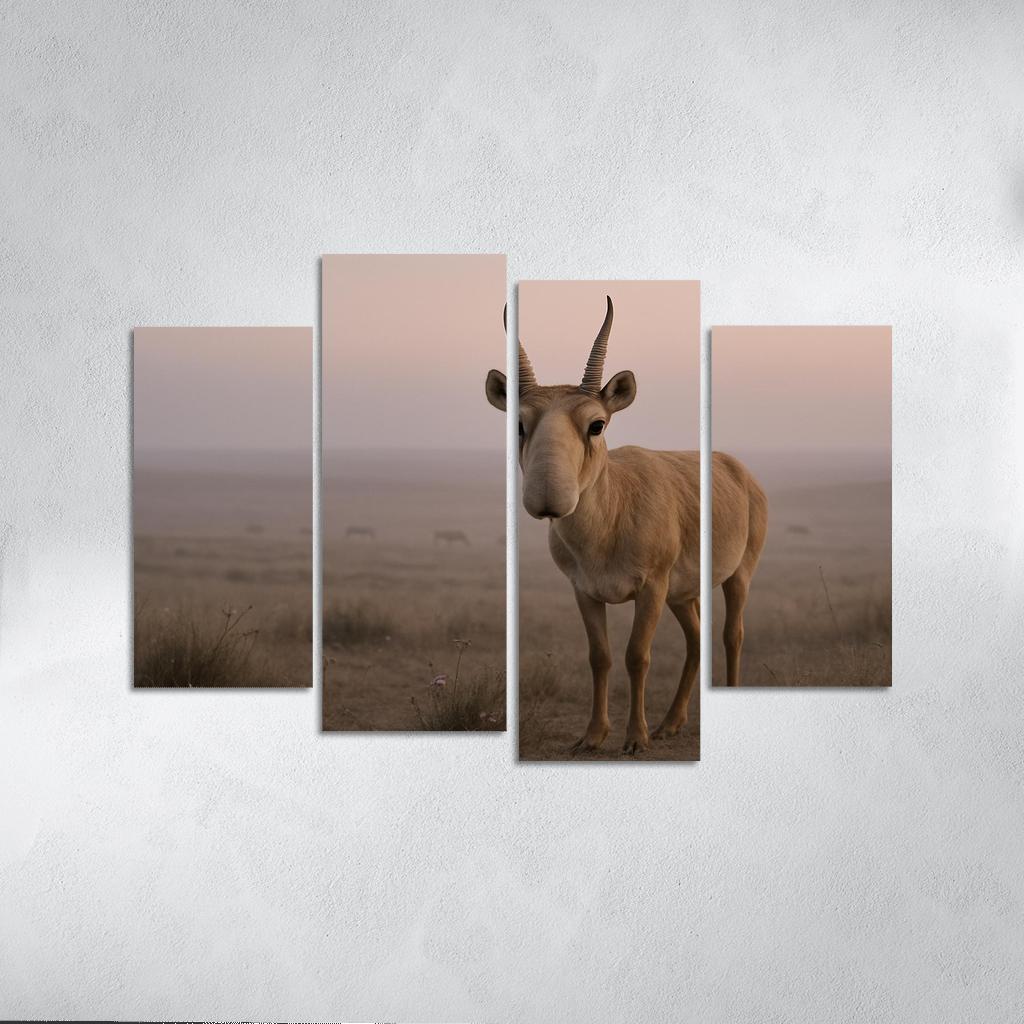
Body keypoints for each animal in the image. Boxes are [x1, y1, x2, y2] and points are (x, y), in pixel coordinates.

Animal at [486, 297, 767, 754]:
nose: (548, 497)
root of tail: (738, 471)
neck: (609, 525)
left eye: (597, 424)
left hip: (737, 576)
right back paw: (670, 723)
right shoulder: (585, 592)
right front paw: (593, 735)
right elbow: (599, 657)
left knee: (732, 633)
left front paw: (636, 738)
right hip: (681, 596)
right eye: (519, 424)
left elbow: (637, 656)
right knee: (696, 639)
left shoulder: (650, 589)